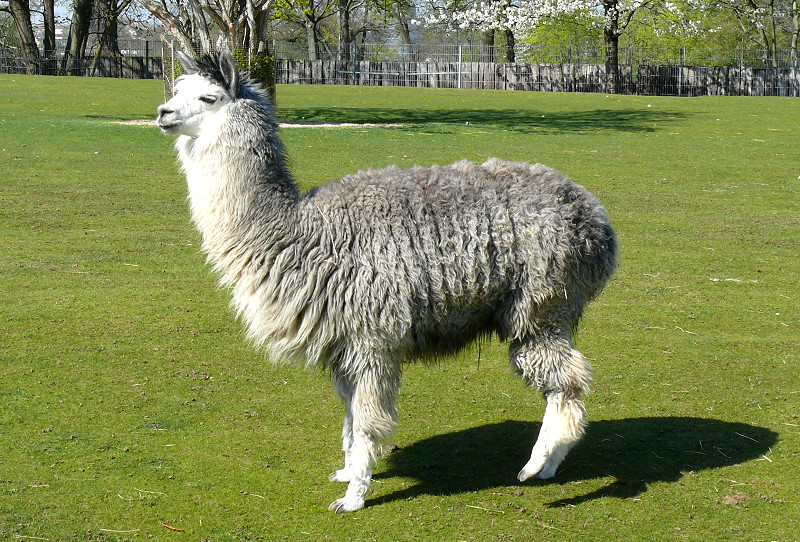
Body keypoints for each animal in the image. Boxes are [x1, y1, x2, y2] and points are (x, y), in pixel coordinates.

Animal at [156, 51, 618, 512]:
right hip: (545, 309)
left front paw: (353, 497)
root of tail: (595, 219)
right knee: (564, 383)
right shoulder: (343, 347)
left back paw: (536, 464)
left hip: (541, 305)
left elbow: (367, 421)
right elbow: (348, 417)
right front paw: (347, 473)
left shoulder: (373, 339)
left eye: (209, 97)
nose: (162, 113)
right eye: (177, 91)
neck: (298, 231)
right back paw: (550, 466)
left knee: (569, 384)